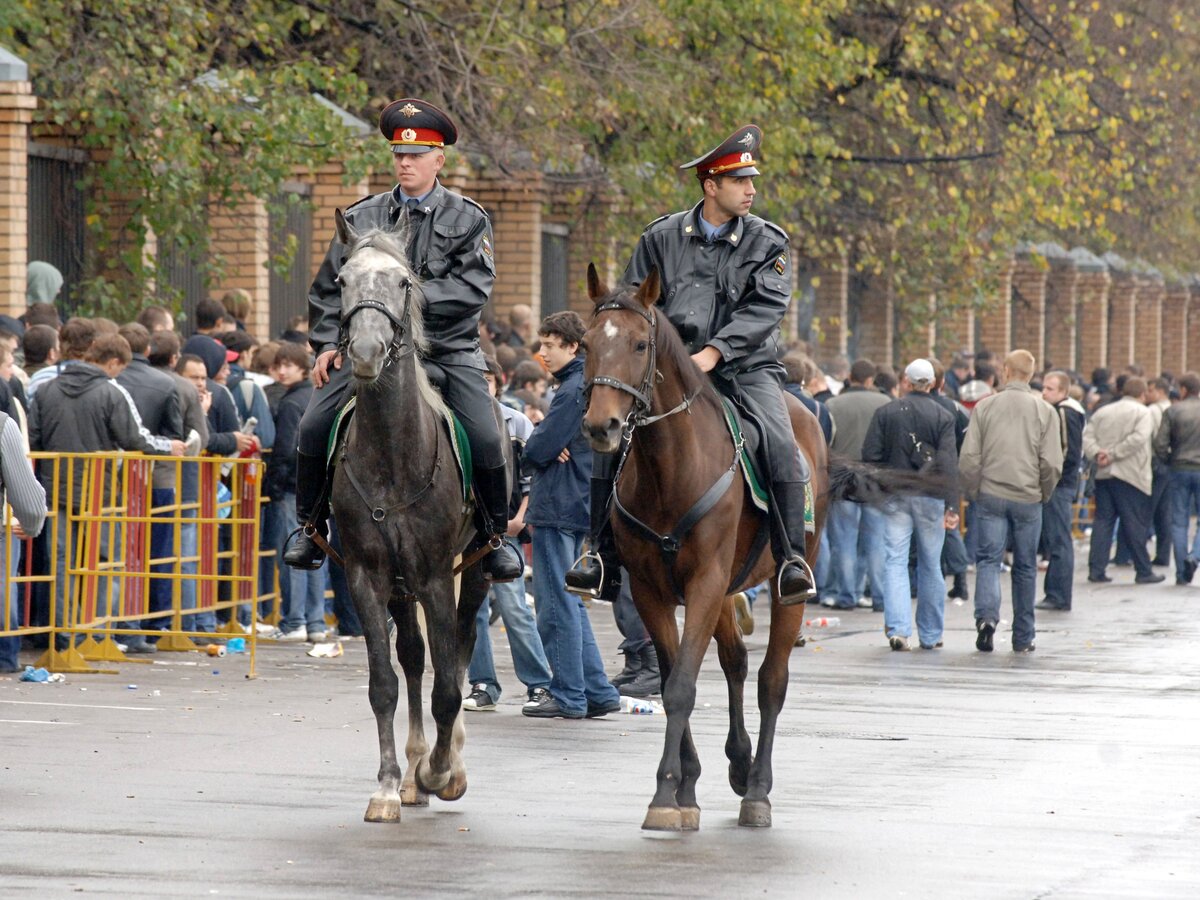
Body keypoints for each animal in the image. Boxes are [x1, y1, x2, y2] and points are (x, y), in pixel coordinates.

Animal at [578, 266, 825, 830]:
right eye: (586, 344)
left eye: (640, 343)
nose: (601, 426)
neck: (668, 470)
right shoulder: (653, 591)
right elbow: (674, 676)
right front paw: (684, 787)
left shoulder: (705, 583)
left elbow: (682, 686)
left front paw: (665, 793)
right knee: (735, 661)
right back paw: (738, 761)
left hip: (785, 587)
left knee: (771, 680)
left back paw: (757, 789)